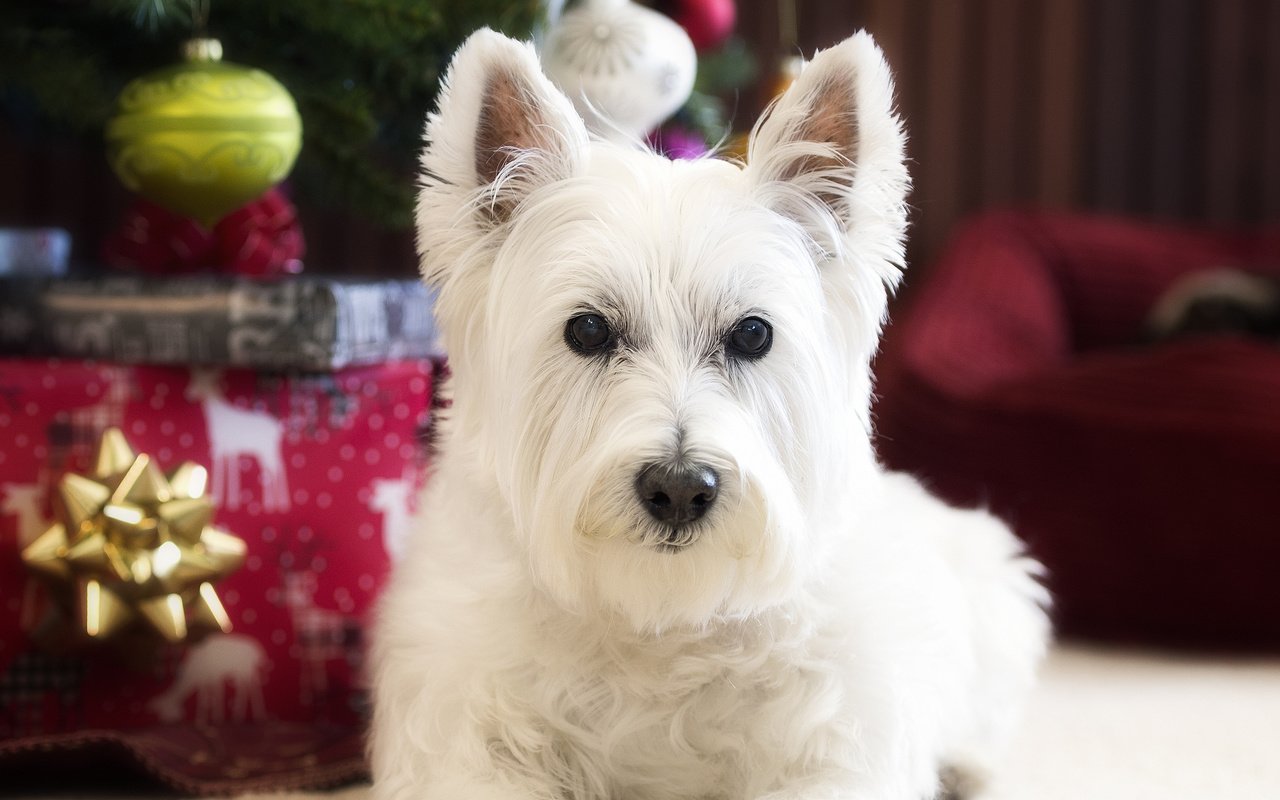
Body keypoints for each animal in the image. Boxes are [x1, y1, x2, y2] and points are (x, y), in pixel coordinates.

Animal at [371, 26, 1049, 798]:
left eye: (752, 334)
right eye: (588, 330)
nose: (679, 489)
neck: (662, 619)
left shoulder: (838, 744)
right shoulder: (461, 729)